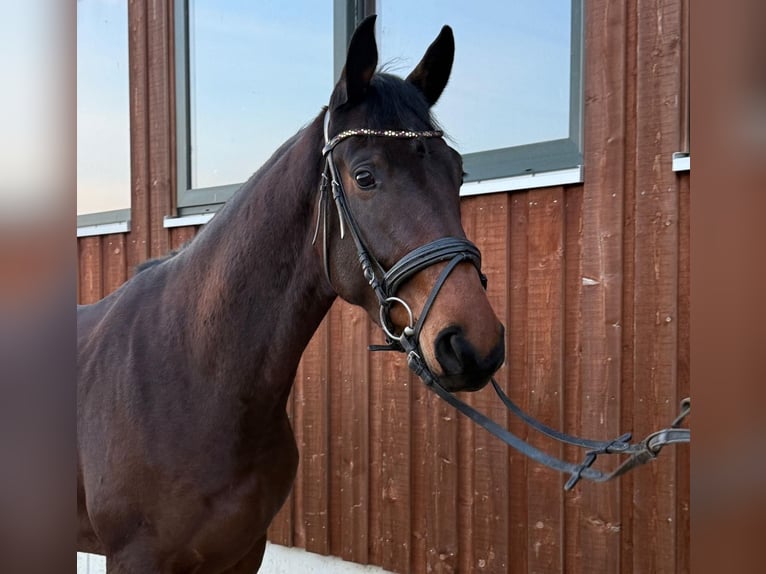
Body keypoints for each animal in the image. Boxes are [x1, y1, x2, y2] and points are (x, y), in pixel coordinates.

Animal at [77, 16, 505, 573]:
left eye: (458, 172)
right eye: (364, 176)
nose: (474, 343)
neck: (192, 374)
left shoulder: (242, 551)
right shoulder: (135, 557)